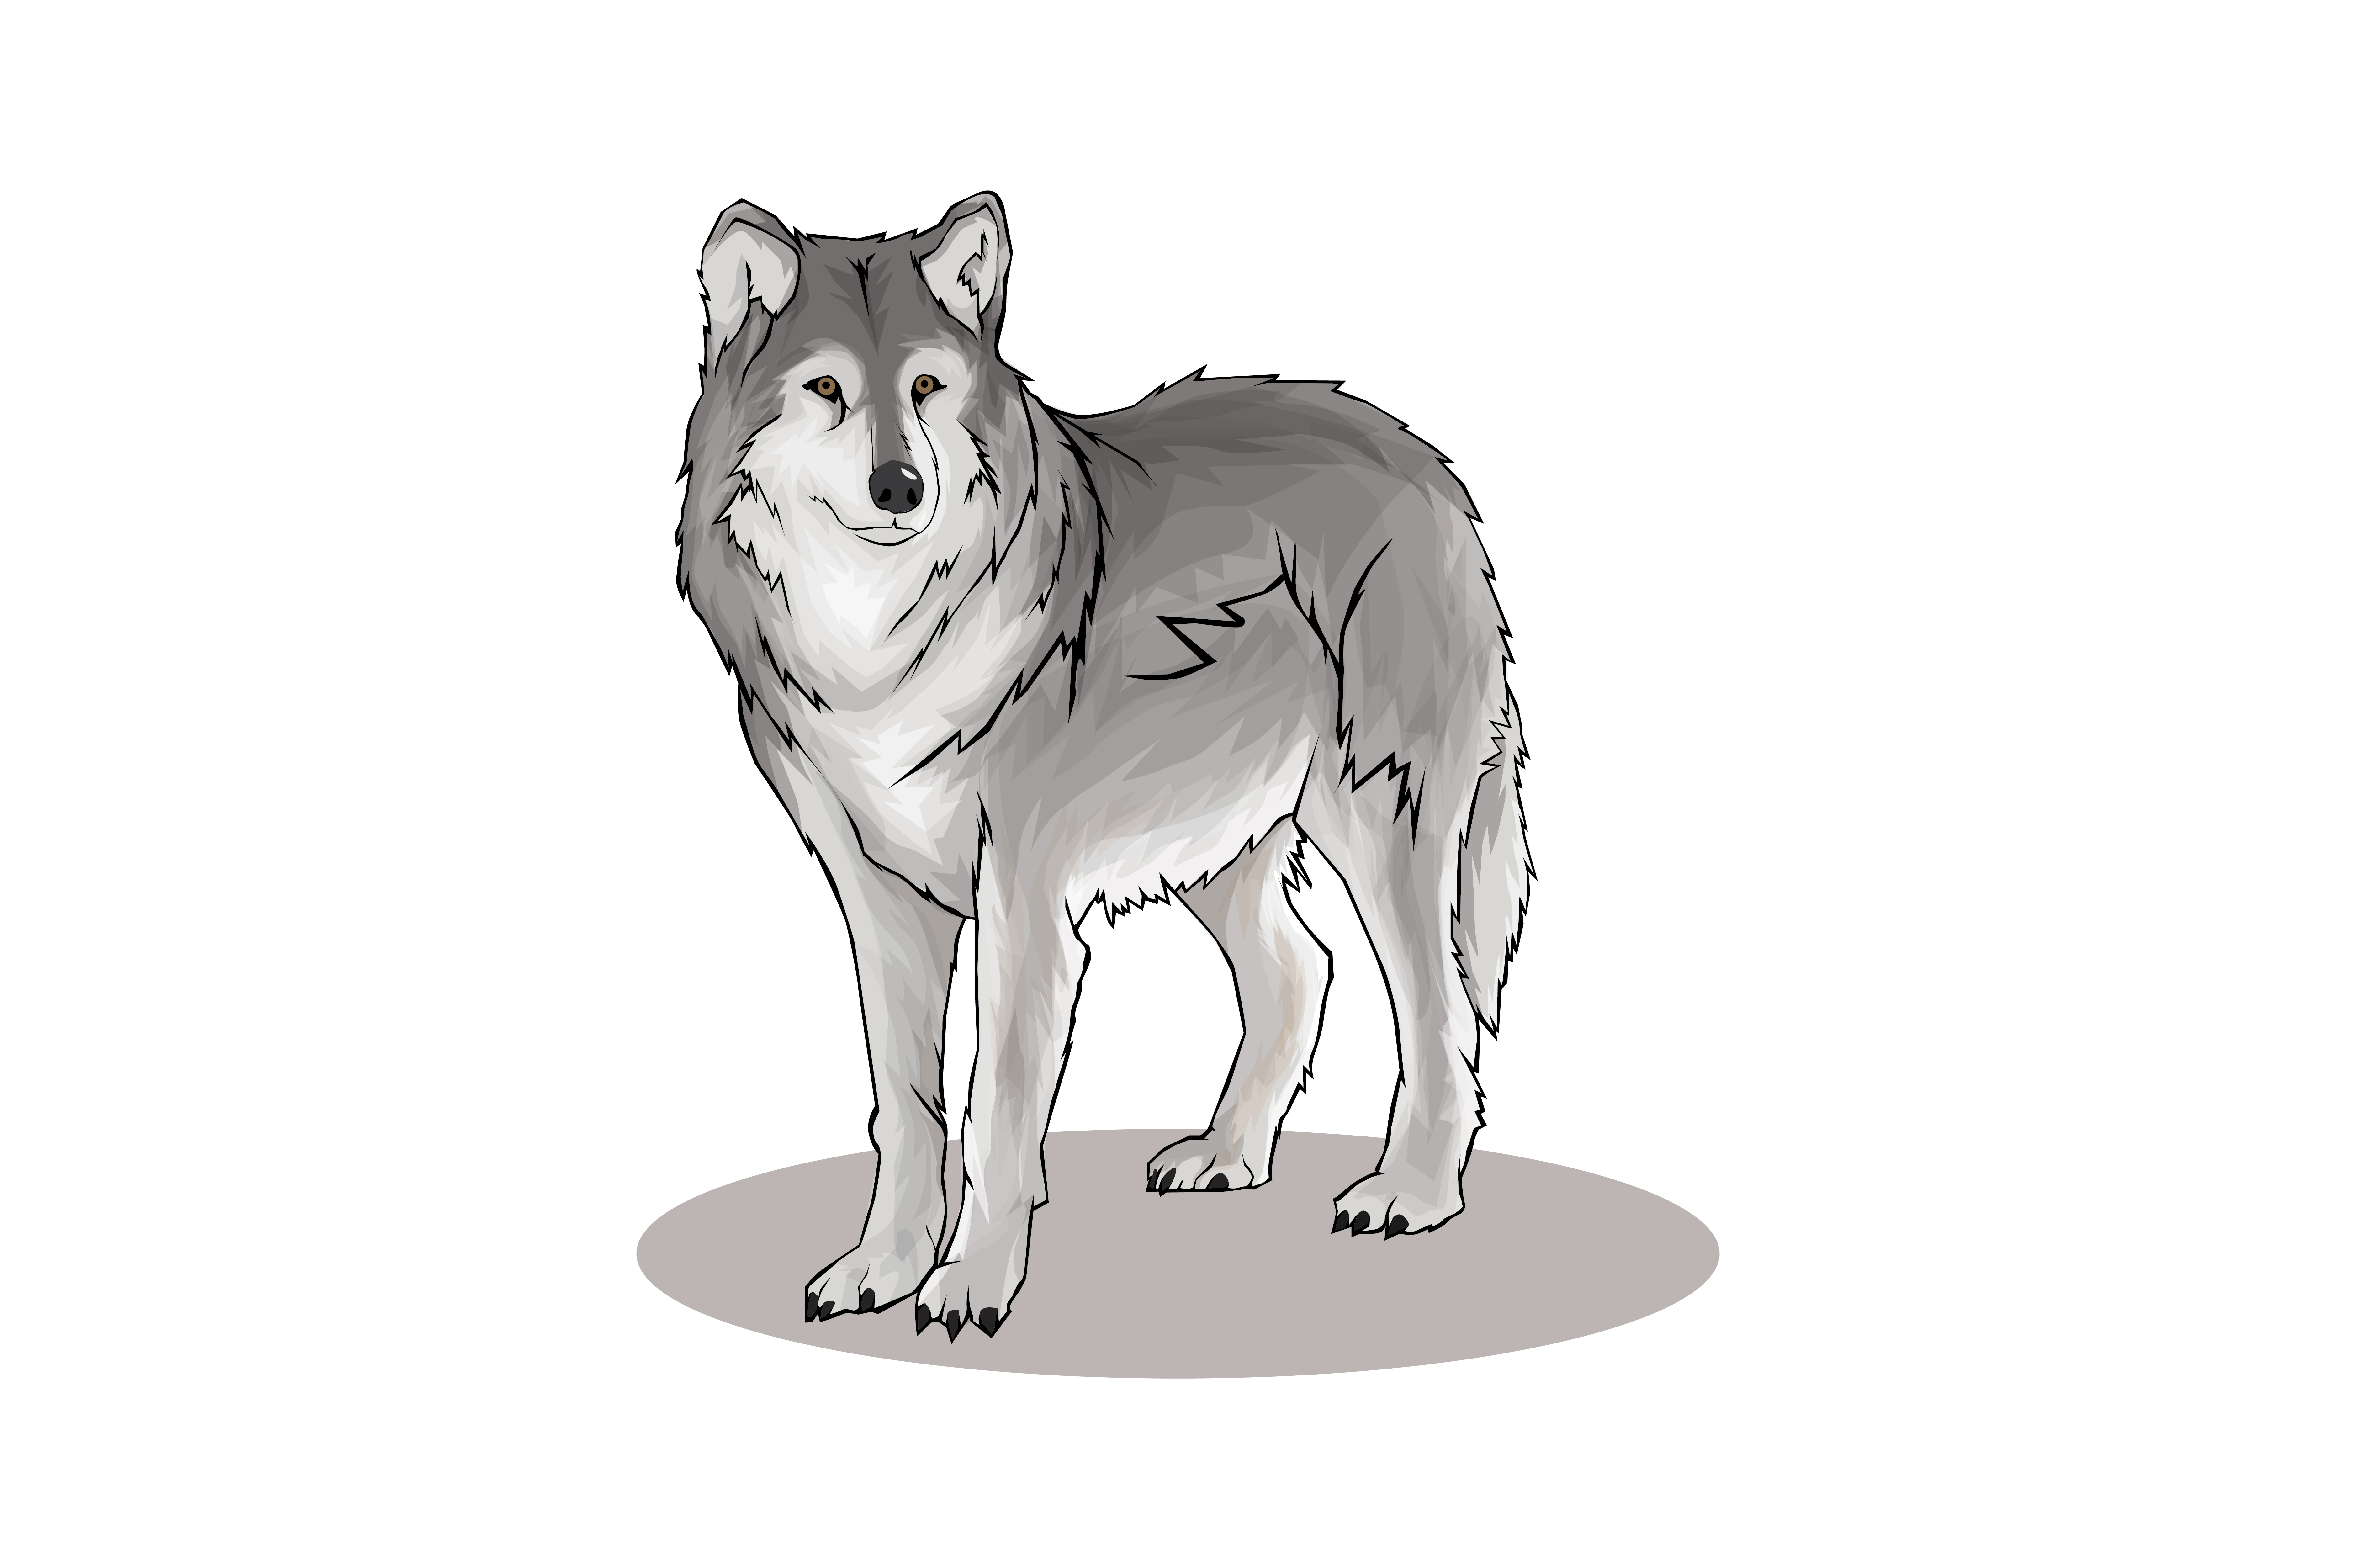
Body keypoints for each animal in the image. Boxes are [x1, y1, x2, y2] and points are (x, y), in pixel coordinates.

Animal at [675, 193, 1532, 1342]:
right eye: (825, 391)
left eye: (926, 389)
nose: (899, 486)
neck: (881, 642)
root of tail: (1424, 461)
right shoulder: (879, 897)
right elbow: (906, 1110)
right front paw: (881, 1268)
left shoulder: (1023, 899)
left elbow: (995, 1109)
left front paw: (970, 1286)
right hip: (1222, 844)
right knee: (1301, 970)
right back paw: (1227, 1155)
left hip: (1377, 822)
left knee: (1438, 1013)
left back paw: (1411, 1194)